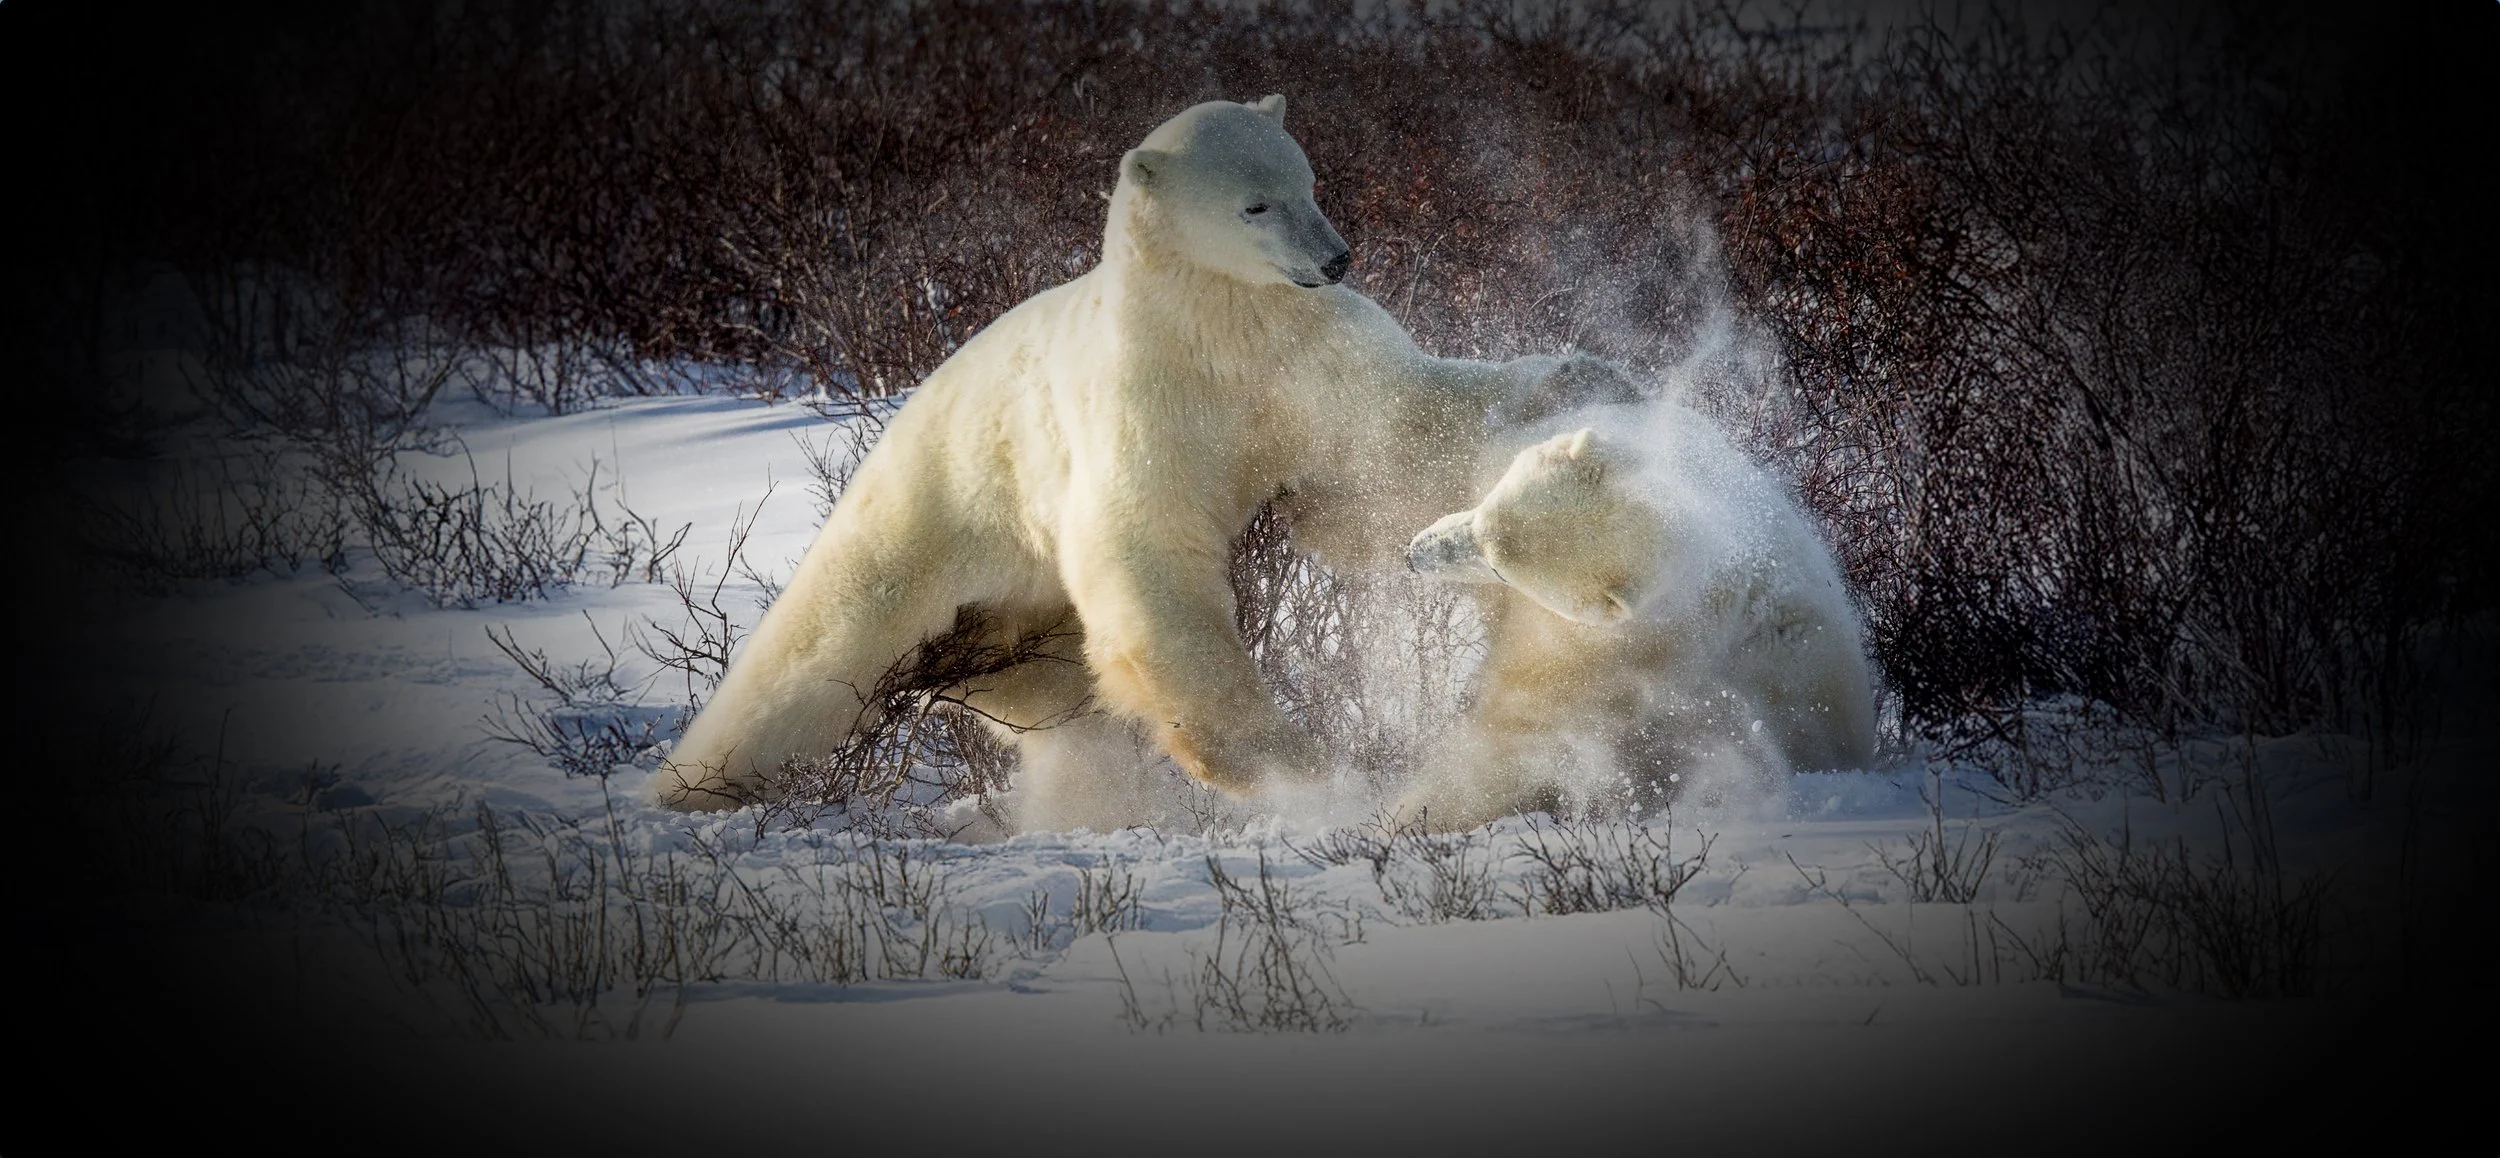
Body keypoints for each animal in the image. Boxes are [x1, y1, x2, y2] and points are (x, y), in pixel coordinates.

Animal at [654, 94, 1638, 822]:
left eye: (1309, 178)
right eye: (1254, 201)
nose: (1335, 258)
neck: (1218, 322)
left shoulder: (1304, 362)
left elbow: (1388, 440)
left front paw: (1591, 374)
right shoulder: (1145, 399)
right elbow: (1149, 550)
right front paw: (1285, 765)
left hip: (1021, 607)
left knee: (1055, 697)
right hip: (928, 505)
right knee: (813, 652)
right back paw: (689, 785)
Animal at [1394, 401, 1878, 831]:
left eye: (1500, 569)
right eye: (1487, 506)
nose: (1414, 555)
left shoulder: (1623, 653)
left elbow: (1518, 727)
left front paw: (1416, 812)